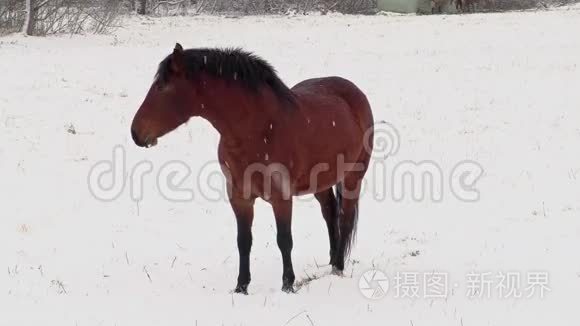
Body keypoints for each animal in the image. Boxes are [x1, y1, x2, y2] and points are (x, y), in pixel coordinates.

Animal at [131, 43, 374, 292]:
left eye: (161, 87)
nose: (135, 133)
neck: (258, 129)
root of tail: (354, 92)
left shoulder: (281, 197)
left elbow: (284, 240)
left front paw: (287, 284)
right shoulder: (240, 197)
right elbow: (244, 241)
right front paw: (241, 286)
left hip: (353, 176)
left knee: (344, 217)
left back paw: (339, 266)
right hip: (321, 182)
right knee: (330, 212)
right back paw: (332, 262)